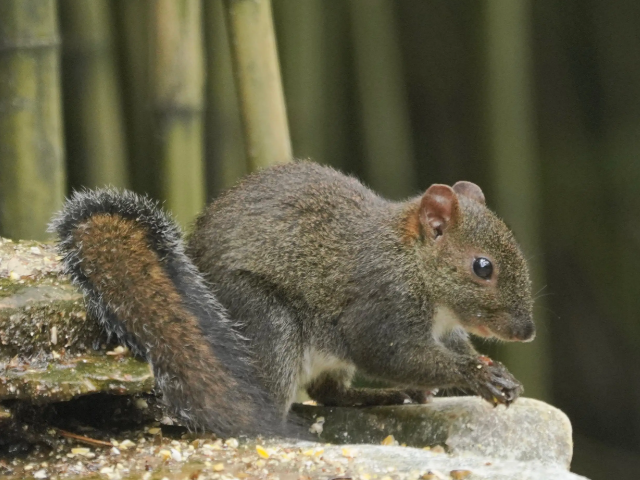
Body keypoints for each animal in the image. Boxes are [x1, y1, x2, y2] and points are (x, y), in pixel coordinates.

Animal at [52, 162, 536, 438]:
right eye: (482, 267)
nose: (527, 332)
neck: (412, 262)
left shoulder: (443, 328)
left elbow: (453, 347)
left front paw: (501, 376)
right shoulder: (381, 305)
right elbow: (388, 352)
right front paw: (479, 376)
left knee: (328, 394)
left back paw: (382, 396)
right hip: (268, 324)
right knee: (264, 406)